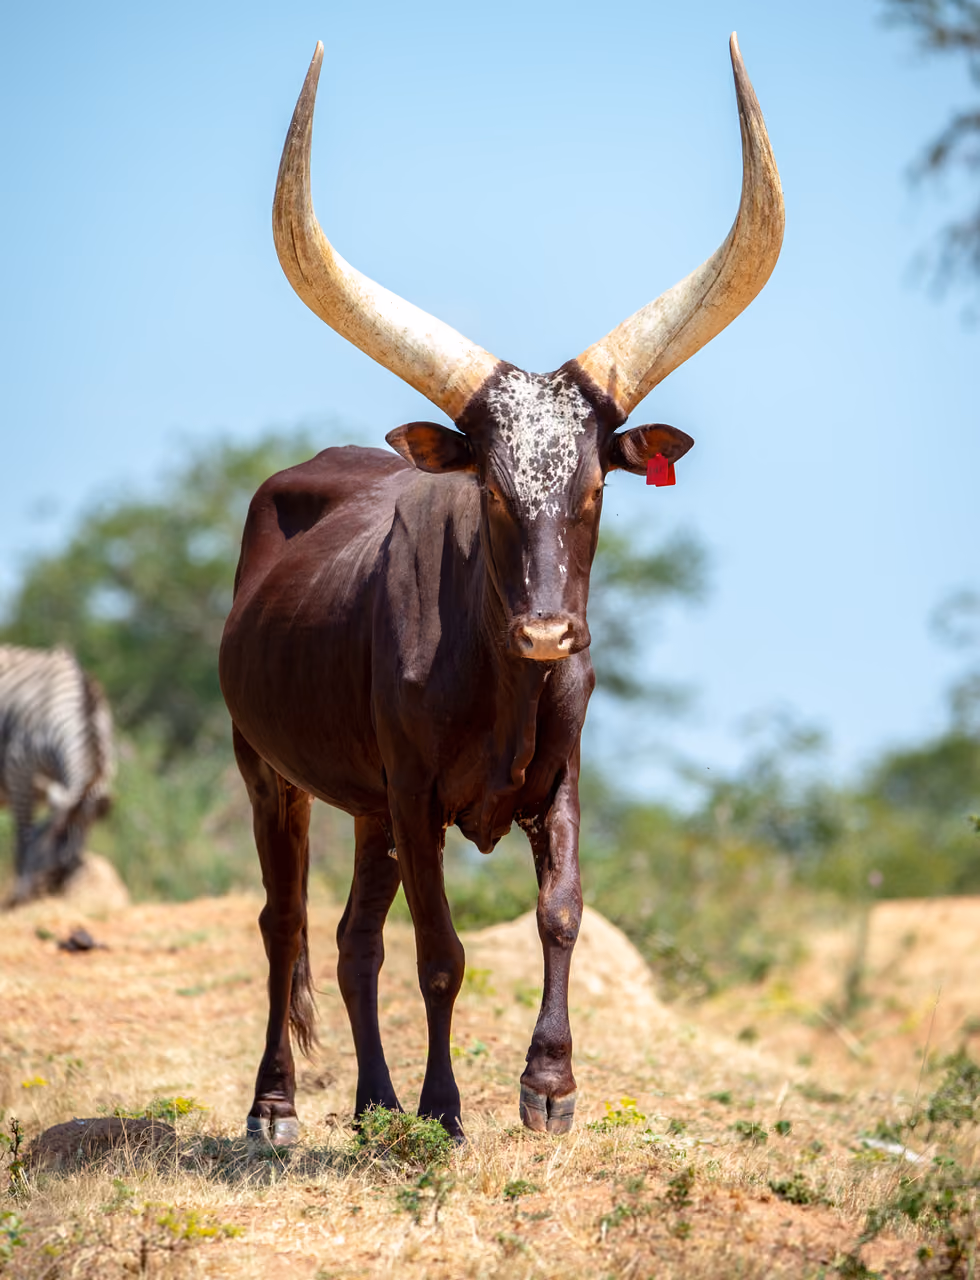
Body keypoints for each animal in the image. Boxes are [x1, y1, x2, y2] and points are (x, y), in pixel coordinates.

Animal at [219, 35, 784, 1144]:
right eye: (489, 484)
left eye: (595, 484)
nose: (547, 632)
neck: (501, 684)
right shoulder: (414, 795)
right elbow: (440, 953)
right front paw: (442, 1109)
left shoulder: (557, 775)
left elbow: (559, 911)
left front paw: (548, 1086)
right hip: (269, 771)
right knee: (283, 922)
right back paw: (278, 1105)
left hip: (364, 807)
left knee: (350, 936)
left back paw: (372, 1104)